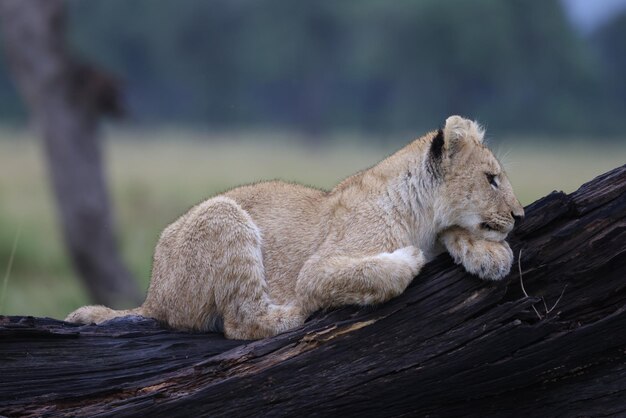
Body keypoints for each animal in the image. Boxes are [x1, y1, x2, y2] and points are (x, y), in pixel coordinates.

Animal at [66, 115, 520, 340]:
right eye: (491, 179)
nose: (520, 215)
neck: (422, 215)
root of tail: (152, 296)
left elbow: (459, 235)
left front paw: (491, 255)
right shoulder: (317, 269)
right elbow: (371, 272)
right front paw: (409, 259)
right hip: (225, 215)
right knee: (242, 323)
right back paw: (294, 311)